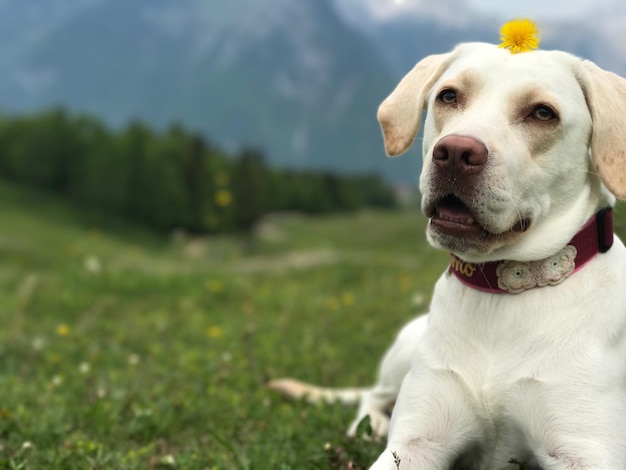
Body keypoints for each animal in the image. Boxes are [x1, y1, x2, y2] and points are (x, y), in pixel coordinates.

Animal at [270, 41, 626, 470]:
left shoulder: (587, 451)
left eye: (543, 113)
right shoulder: (415, 442)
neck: (501, 294)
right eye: (449, 96)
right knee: (373, 394)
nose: (456, 151)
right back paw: (370, 424)